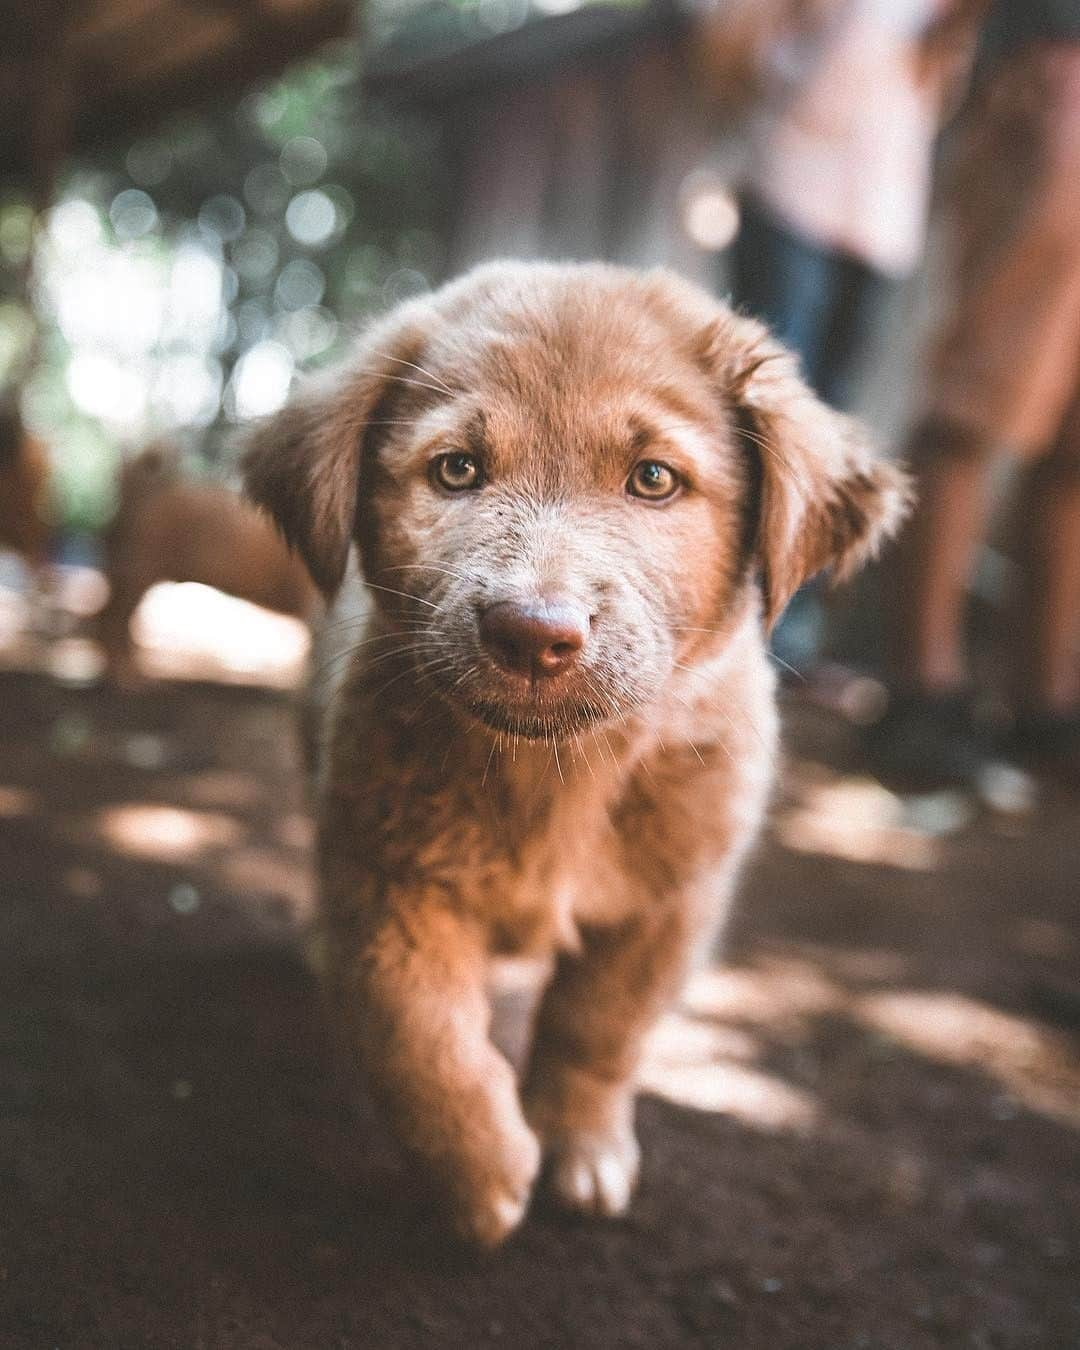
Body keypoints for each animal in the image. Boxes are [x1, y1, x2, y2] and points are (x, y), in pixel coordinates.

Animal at [244, 260, 912, 1242]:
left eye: (654, 480)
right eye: (456, 470)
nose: (532, 635)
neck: (560, 775)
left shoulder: (667, 903)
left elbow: (599, 1026)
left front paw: (578, 1142)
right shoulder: (387, 878)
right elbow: (415, 1031)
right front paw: (478, 1173)